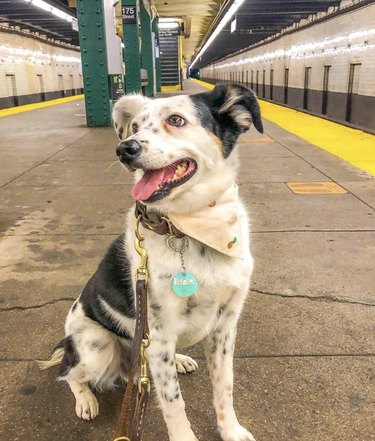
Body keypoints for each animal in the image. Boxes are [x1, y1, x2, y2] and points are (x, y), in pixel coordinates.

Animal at [40, 83, 264, 440]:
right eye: (134, 126)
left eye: (176, 119)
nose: (124, 149)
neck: (189, 227)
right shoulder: (158, 334)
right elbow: (173, 402)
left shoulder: (224, 327)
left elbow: (224, 386)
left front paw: (230, 430)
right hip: (97, 347)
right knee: (68, 371)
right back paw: (85, 399)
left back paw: (180, 359)